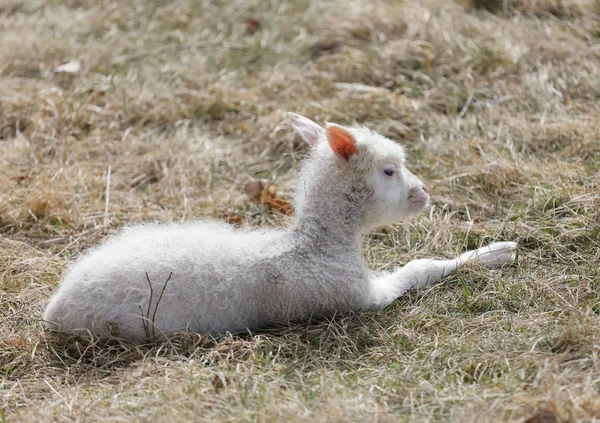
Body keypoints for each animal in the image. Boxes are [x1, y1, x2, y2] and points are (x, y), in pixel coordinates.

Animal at [44, 113, 516, 344]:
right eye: (389, 171)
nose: (424, 192)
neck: (314, 248)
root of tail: (55, 309)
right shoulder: (354, 297)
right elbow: (419, 269)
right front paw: (496, 252)